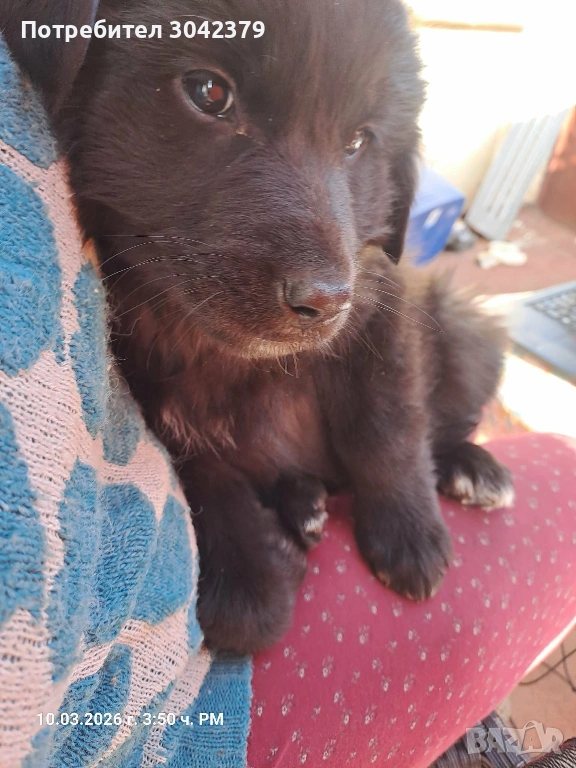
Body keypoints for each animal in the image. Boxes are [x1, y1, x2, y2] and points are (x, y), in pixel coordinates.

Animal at [2, 0, 514, 655]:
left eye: (357, 141)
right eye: (208, 93)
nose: (325, 300)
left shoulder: (380, 309)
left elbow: (387, 426)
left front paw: (408, 529)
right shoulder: (144, 379)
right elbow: (201, 467)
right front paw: (246, 578)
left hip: (464, 328)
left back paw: (470, 468)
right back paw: (303, 503)